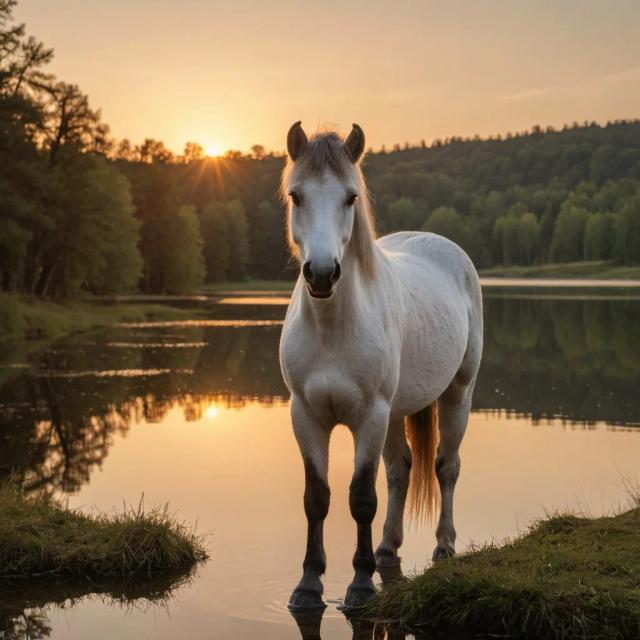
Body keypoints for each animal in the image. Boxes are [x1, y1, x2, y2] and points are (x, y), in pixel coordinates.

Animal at [279, 122, 483, 611]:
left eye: (350, 197)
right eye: (297, 195)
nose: (321, 274)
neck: (333, 329)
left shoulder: (368, 416)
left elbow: (360, 498)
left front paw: (359, 584)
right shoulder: (306, 416)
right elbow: (317, 497)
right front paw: (308, 585)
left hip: (457, 393)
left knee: (446, 466)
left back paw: (444, 544)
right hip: (395, 412)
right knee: (400, 470)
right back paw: (388, 547)